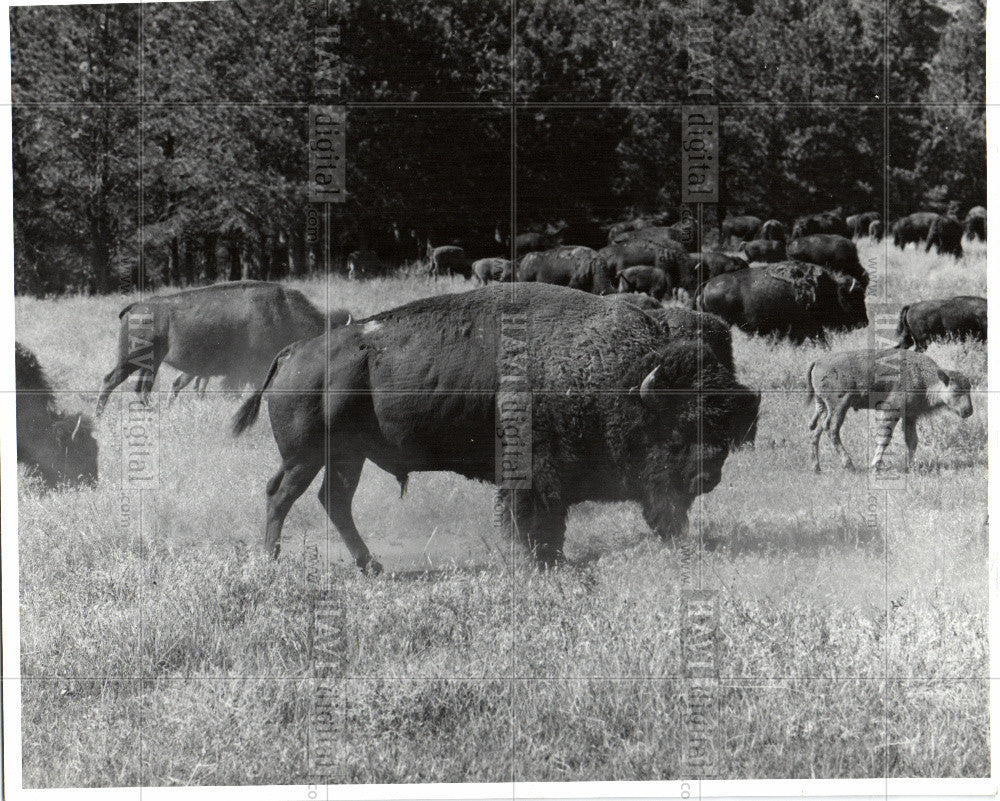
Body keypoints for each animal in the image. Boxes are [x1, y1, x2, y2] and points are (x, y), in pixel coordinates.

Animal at [94, 280, 352, 416]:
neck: (283, 313)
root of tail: (135, 307)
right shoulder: (247, 372)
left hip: (150, 363)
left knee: (141, 387)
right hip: (131, 359)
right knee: (112, 381)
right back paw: (100, 416)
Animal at [232, 282, 756, 568]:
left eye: (722, 429)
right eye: (678, 427)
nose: (707, 477)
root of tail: (292, 352)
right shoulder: (534, 472)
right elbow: (531, 517)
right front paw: (538, 560)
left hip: (347, 456)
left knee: (333, 501)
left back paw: (372, 565)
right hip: (304, 456)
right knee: (281, 495)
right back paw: (274, 560)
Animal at [808, 348, 972, 472]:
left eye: (969, 389)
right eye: (956, 390)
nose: (968, 411)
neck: (923, 376)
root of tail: (818, 361)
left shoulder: (910, 416)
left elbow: (912, 441)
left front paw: (910, 466)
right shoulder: (891, 410)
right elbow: (884, 439)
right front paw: (875, 466)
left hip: (823, 406)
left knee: (817, 431)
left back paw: (817, 468)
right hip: (840, 405)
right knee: (831, 428)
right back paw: (849, 466)